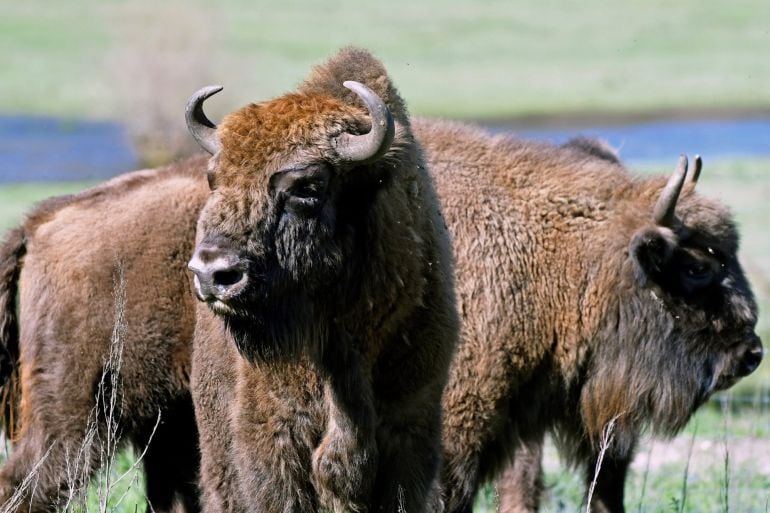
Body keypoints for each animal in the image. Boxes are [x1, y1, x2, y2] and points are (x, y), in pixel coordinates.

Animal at [0, 50, 760, 510]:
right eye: (698, 264)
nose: (750, 350)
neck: (554, 246)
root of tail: (44, 222)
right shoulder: (456, 429)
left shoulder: (506, 425)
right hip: (72, 422)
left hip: (163, 426)